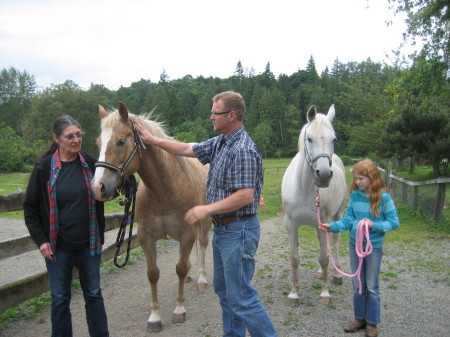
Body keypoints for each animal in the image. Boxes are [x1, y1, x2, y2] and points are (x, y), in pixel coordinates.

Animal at [92, 100, 213, 330]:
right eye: (98, 142)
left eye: (121, 141)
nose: (97, 187)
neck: (163, 191)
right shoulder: (146, 237)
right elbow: (153, 274)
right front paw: (155, 317)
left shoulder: (186, 233)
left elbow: (180, 268)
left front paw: (179, 309)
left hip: (205, 221)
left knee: (202, 245)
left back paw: (201, 279)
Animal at [282, 104, 348, 304]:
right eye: (309, 139)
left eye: (334, 139)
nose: (324, 175)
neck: (304, 187)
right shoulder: (291, 224)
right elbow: (294, 258)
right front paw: (294, 294)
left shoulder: (324, 222)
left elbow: (325, 258)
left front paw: (325, 293)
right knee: (321, 244)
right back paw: (320, 274)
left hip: (336, 215)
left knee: (334, 243)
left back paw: (336, 275)